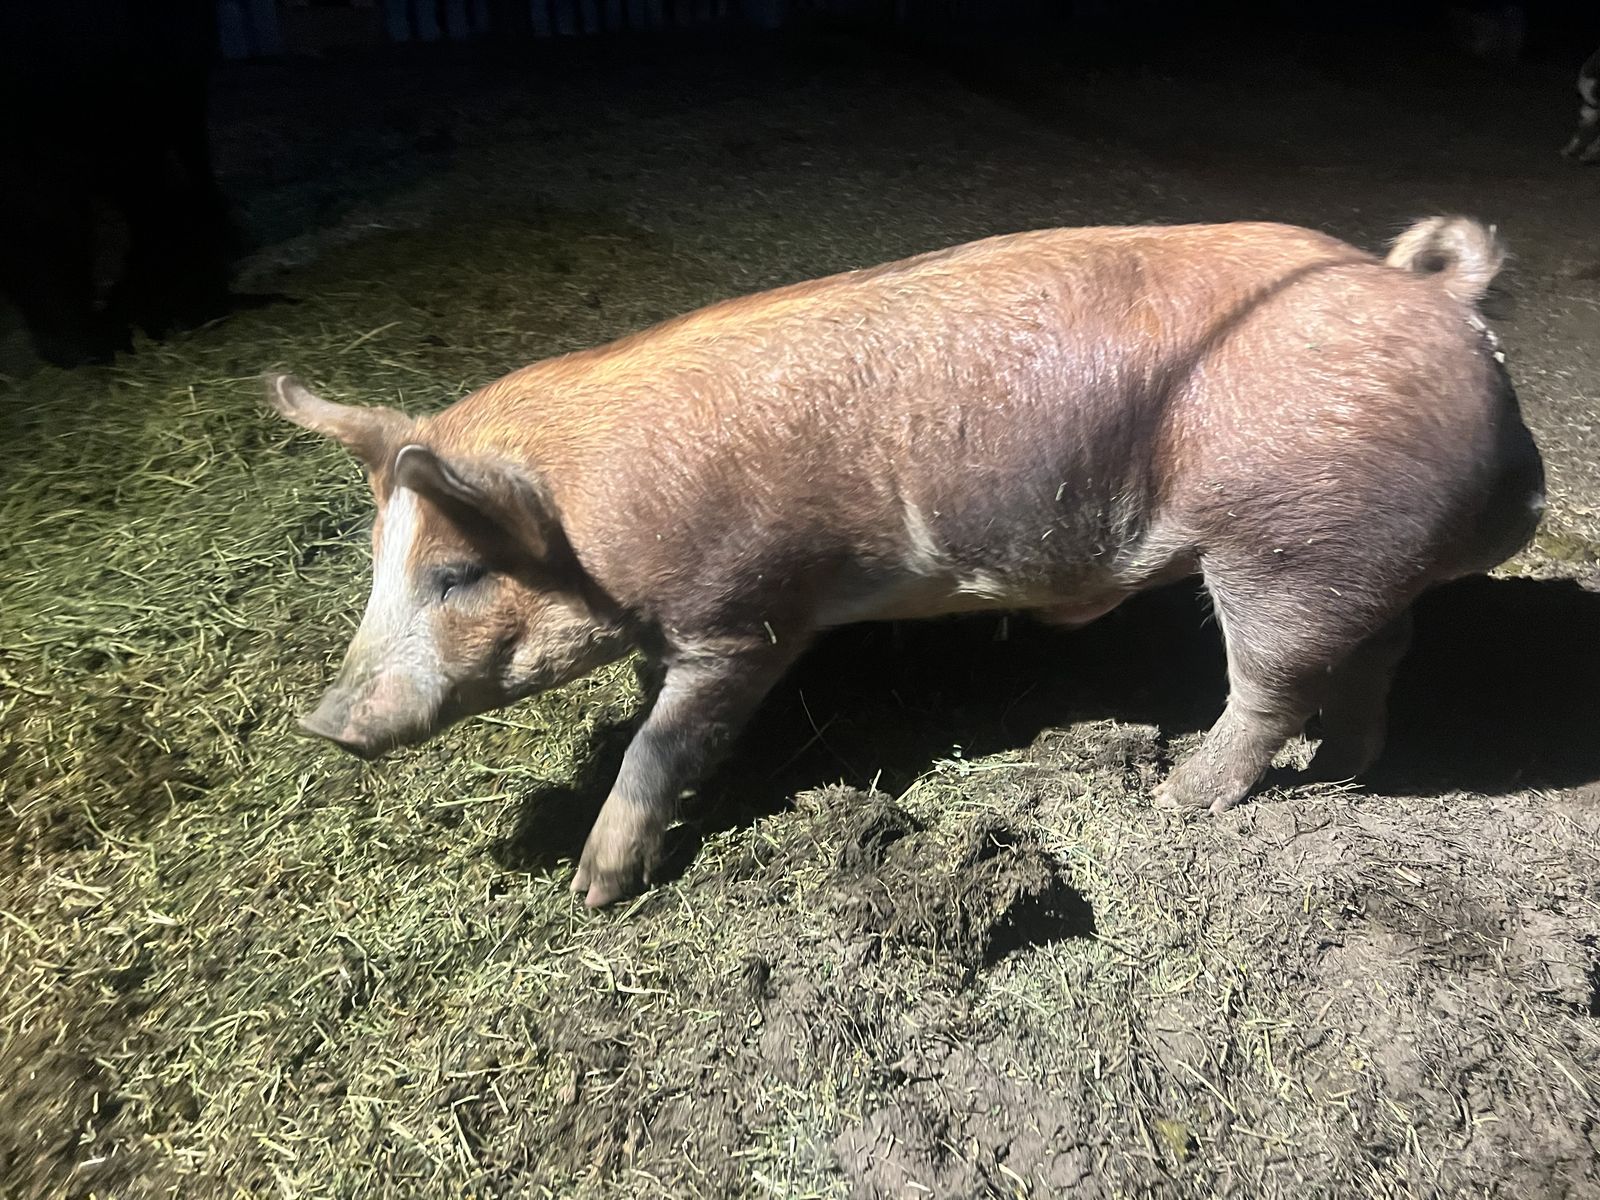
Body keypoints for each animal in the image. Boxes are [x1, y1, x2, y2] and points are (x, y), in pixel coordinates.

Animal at [266, 215, 1544, 907]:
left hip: (1286, 544)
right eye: (381, 564)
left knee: (1272, 684)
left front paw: (594, 892)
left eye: (460, 575)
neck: (599, 518)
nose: (322, 723)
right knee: (1377, 655)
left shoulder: (746, 616)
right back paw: (1348, 772)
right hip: (1351, 557)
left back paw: (1178, 794)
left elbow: (661, 744)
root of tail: (1438, 296)